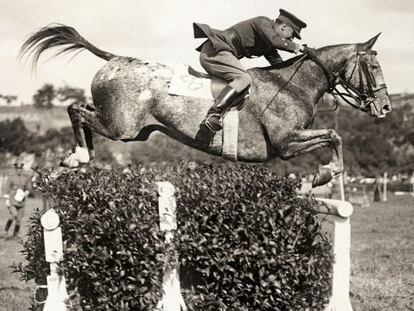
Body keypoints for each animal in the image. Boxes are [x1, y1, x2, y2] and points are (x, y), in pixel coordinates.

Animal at [21, 24, 392, 188]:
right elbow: (334, 136)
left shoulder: (291, 141)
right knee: (75, 110)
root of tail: (116, 59)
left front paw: (322, 175)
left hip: (133, 131)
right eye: (373, 66)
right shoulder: (286, 144)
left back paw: (75, 156)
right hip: (121, 127)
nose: (386, 108)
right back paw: (79, 157)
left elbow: (334, 137)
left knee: (81, 111)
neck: (293, 85)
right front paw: (321, 175)